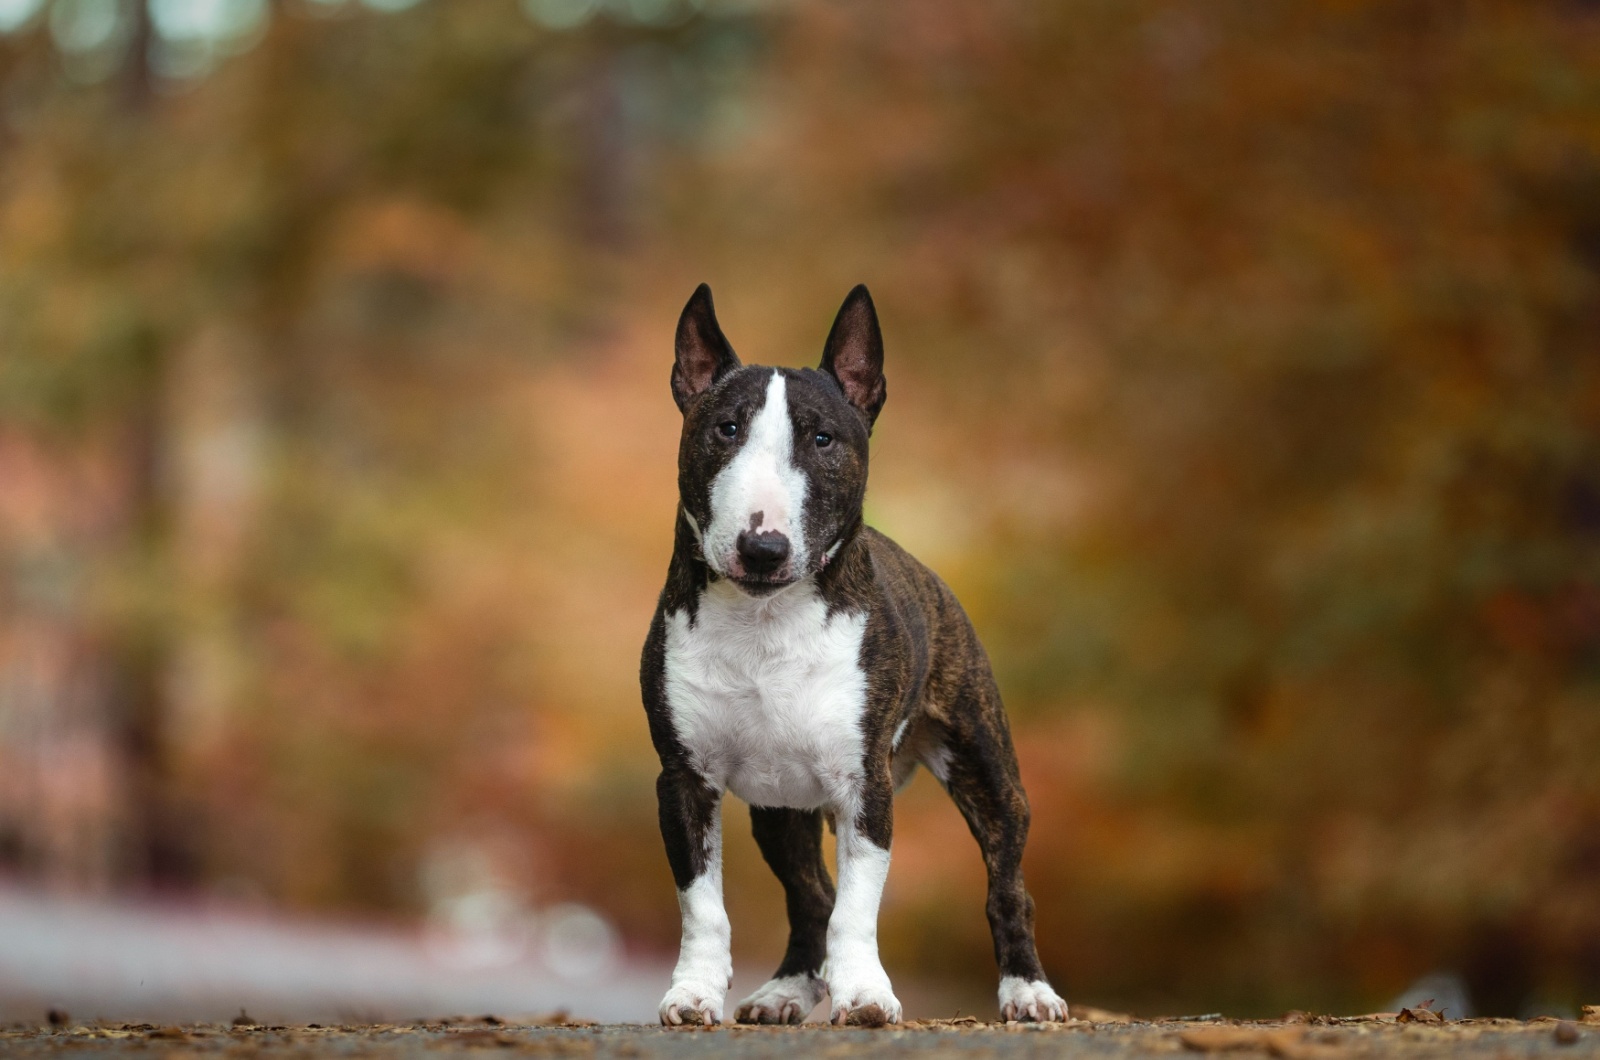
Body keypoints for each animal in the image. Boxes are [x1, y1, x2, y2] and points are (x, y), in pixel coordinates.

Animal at [633, 285, 1062, 1031]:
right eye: (726, 429)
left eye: (823, 438)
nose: (763, 548)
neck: (765, 621)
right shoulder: (685, 780)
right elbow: (704, 905)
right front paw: (692, 994)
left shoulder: (865, 783)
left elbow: (859, 907)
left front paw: (864, 994)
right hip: (780, 809)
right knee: (809, 894)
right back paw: (784, 992)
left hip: (988, 768)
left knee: (1007, 885)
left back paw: (1028, 991)